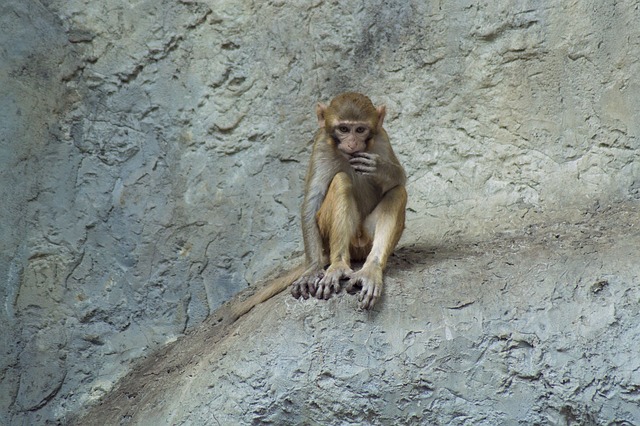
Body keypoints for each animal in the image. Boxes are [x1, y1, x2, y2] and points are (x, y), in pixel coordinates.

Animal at [288, 92, 404, 310]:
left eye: (359, 129)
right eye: (343, 129)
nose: (351, 143)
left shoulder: (382, 138)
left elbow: (399, 179)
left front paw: (380, 168)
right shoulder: (321, 145)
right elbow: (312, 202)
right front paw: (312, 269)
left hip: (366, 240)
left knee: (398, 192)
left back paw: (371, 269)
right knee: (341, 180)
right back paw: (339, 265)